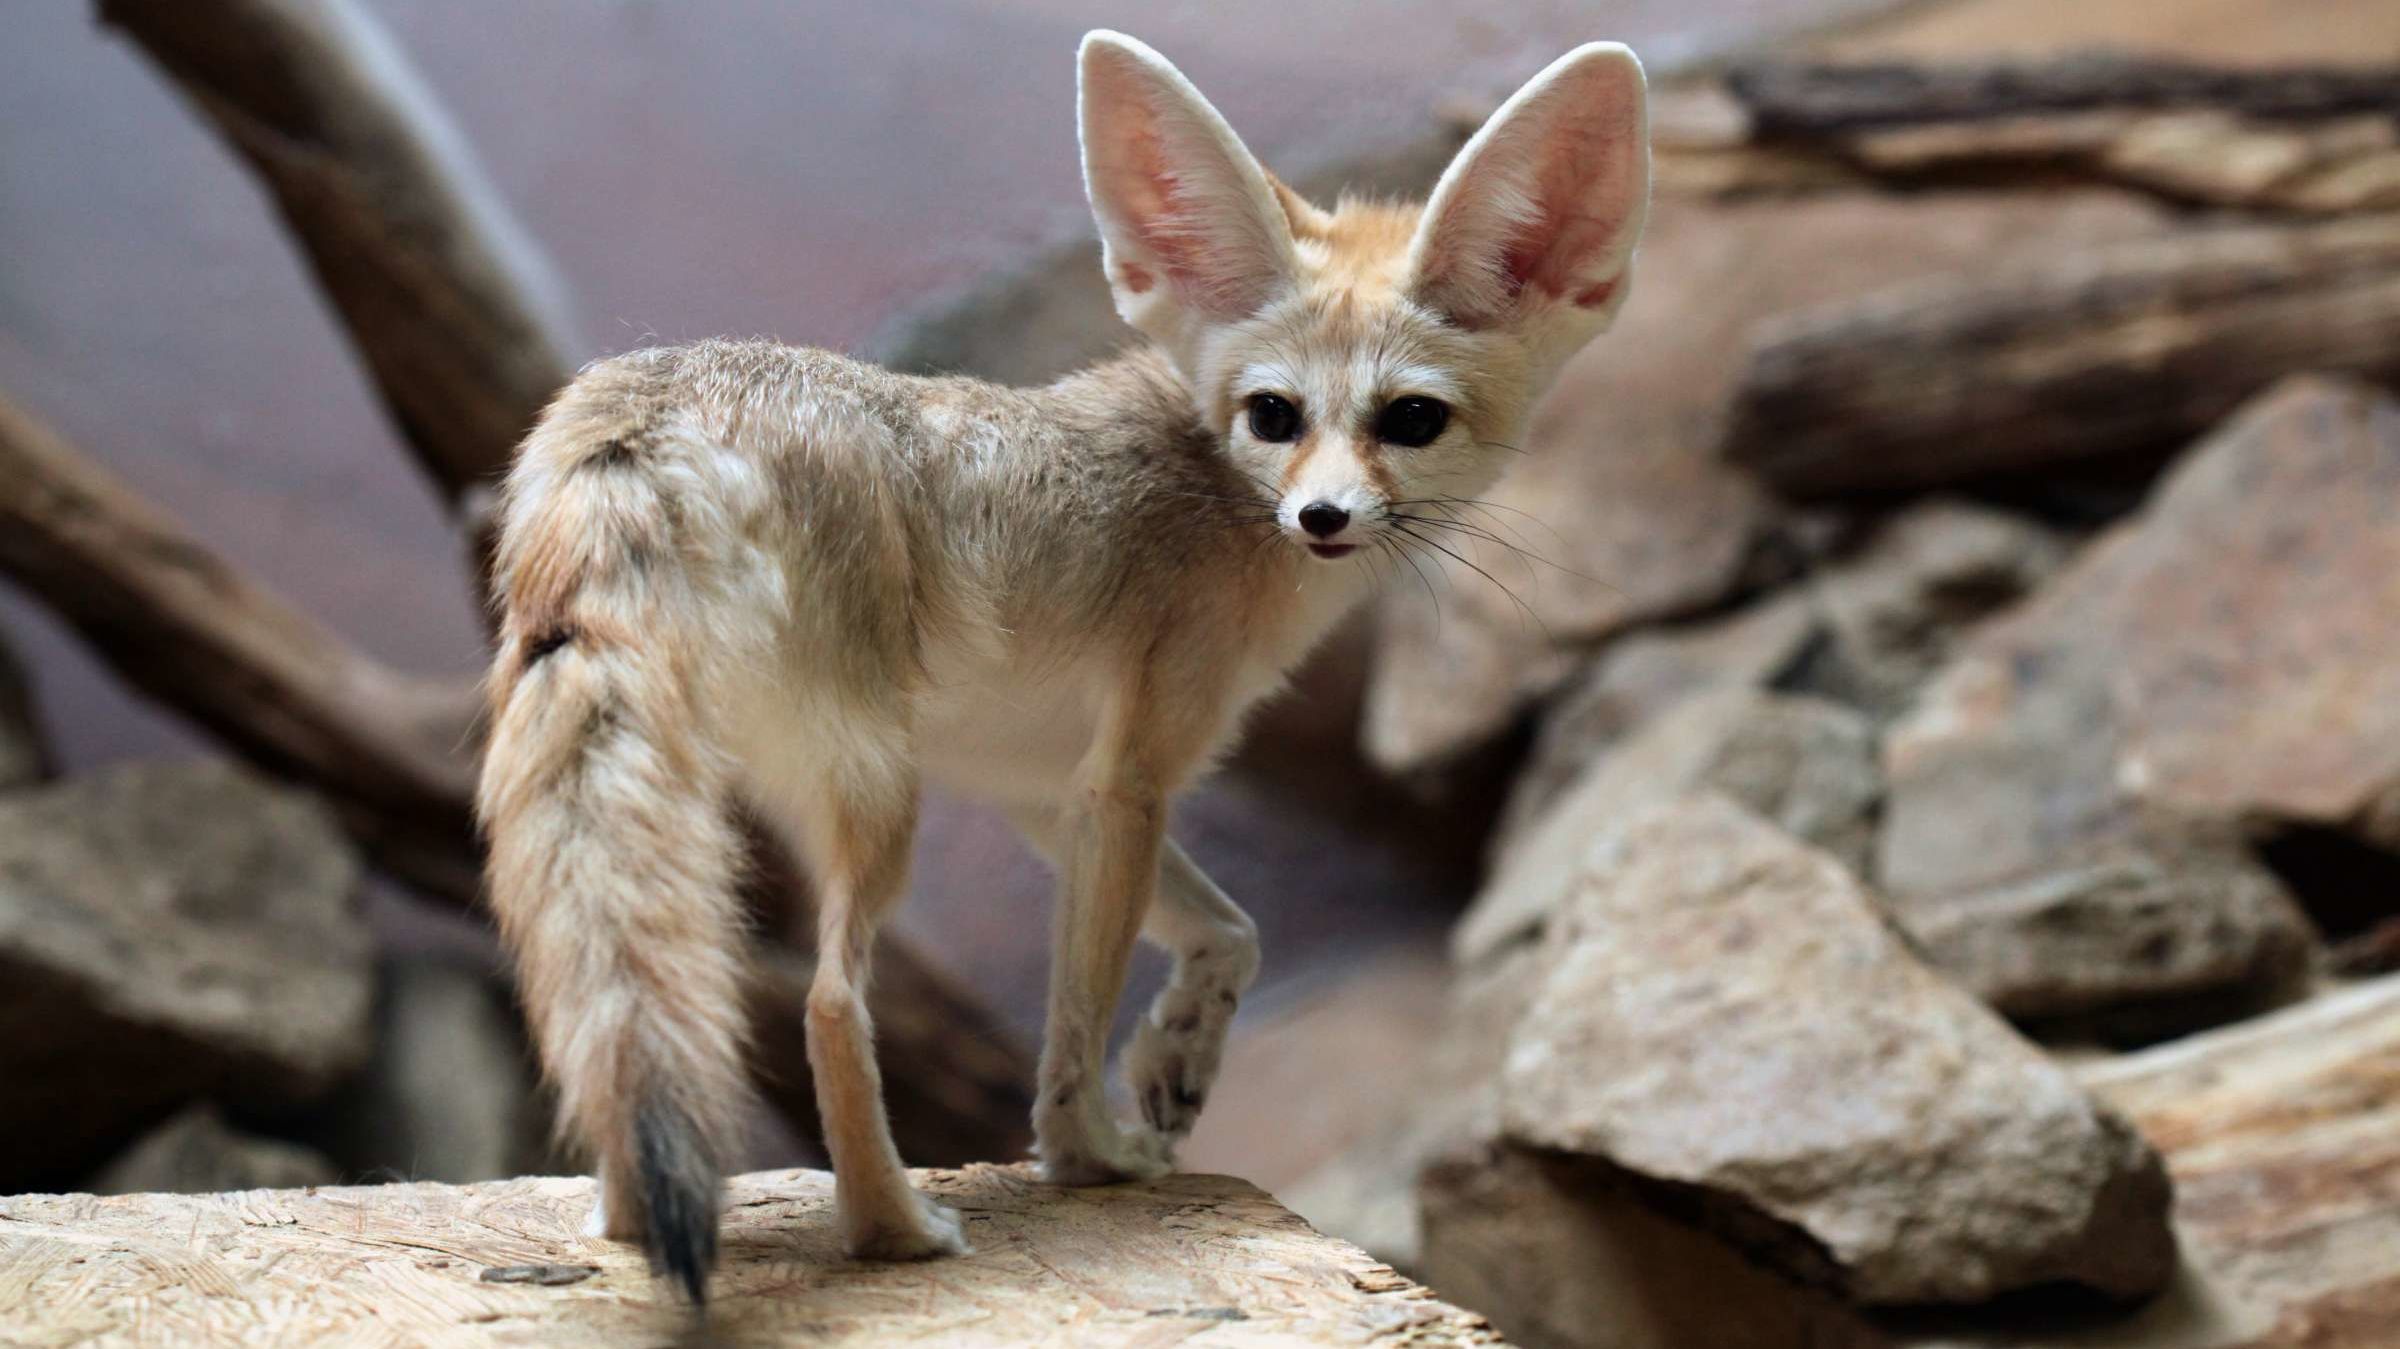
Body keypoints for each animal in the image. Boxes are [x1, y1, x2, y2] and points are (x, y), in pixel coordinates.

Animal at [487, 28, 1651, 1296]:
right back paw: (891, 1228)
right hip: (879, 804)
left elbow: (1232, 928)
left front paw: (1181, 1058)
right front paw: (1088, 1149)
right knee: (830, 1003)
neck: (1219, 492)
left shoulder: (1041, 786)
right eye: (1275, 415)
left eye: (1412, 420)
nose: (1322, 517)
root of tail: (645, 413)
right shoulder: (1129, 779)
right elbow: (1077, 1013)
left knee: (619, 1004)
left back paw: (623, 1216)